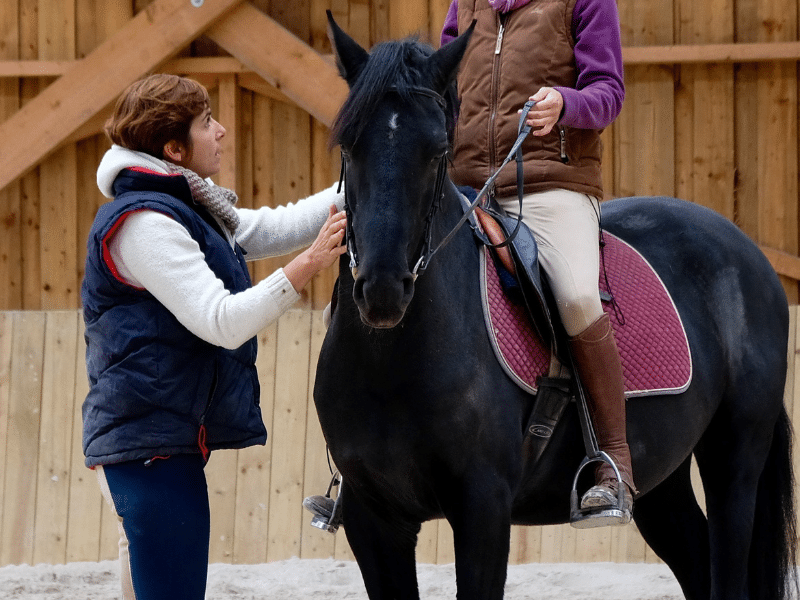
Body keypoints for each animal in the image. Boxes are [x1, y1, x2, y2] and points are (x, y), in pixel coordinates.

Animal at [316, 15, 796, 600]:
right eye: (349, 144)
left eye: (436, 150)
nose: (384, 289)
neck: (392, 362)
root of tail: (748, 252)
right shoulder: (373, 520)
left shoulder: (483, 507)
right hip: (662, 480)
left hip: (735, 461)